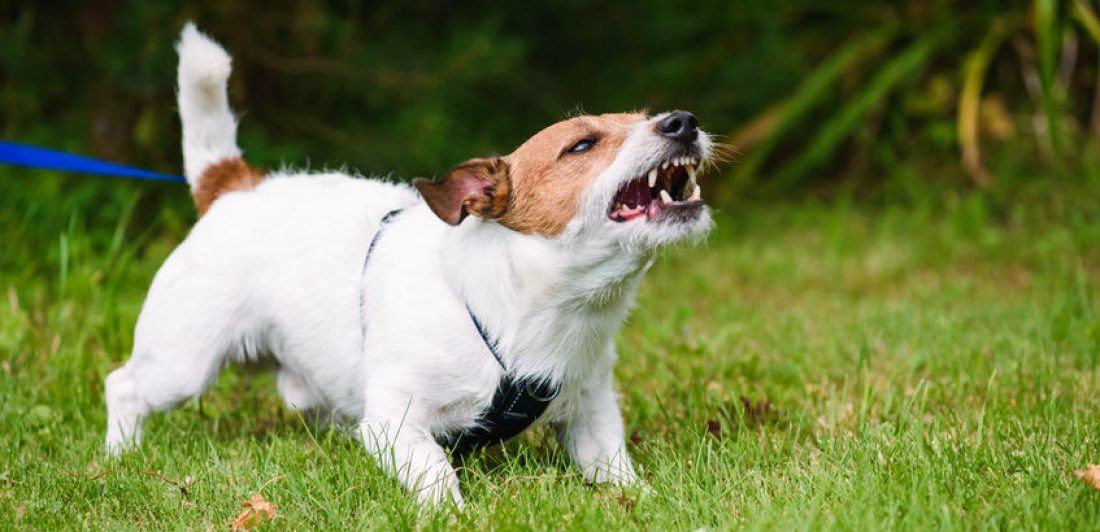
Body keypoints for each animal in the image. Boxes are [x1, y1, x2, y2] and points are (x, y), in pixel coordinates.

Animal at [105, 25, 712, 507]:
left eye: (646, 117)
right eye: (581, 145)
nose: (684, 121)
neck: (529, 309)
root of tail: (233, 186)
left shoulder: (591, 413)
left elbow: (613, 466)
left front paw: (644, 500)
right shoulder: (394, 421)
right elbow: (435, 471)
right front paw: (452, 514)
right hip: (182, 362)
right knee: (124, 385)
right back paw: (119, 455)